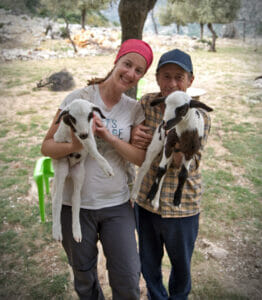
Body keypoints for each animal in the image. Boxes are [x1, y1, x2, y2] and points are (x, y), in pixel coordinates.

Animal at [52, 99, 114, 243]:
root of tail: (69, 173)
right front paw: (107, 168)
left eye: (89, 115)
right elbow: (91, 147)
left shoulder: (89, 133)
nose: (83, 134)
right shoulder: (77, 135)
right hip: (61, 169)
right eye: (73, 118)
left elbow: (92, 147)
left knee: (75, 200)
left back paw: (77, 232)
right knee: (57, 199)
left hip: (79, 173)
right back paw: (57, 232)